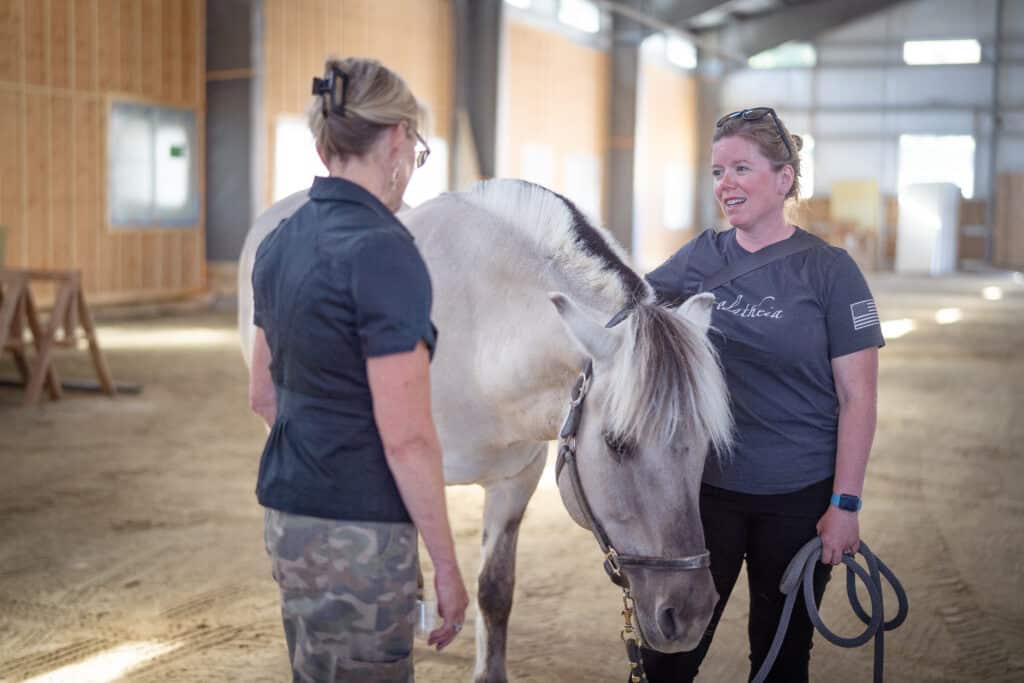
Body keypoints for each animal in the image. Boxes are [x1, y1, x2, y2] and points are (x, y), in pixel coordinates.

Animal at [238, 179, 733, 682]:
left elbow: (495, 590)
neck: (481, 339)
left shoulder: (516, 482)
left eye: (702, 449)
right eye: (617, 444)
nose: (689, 614)